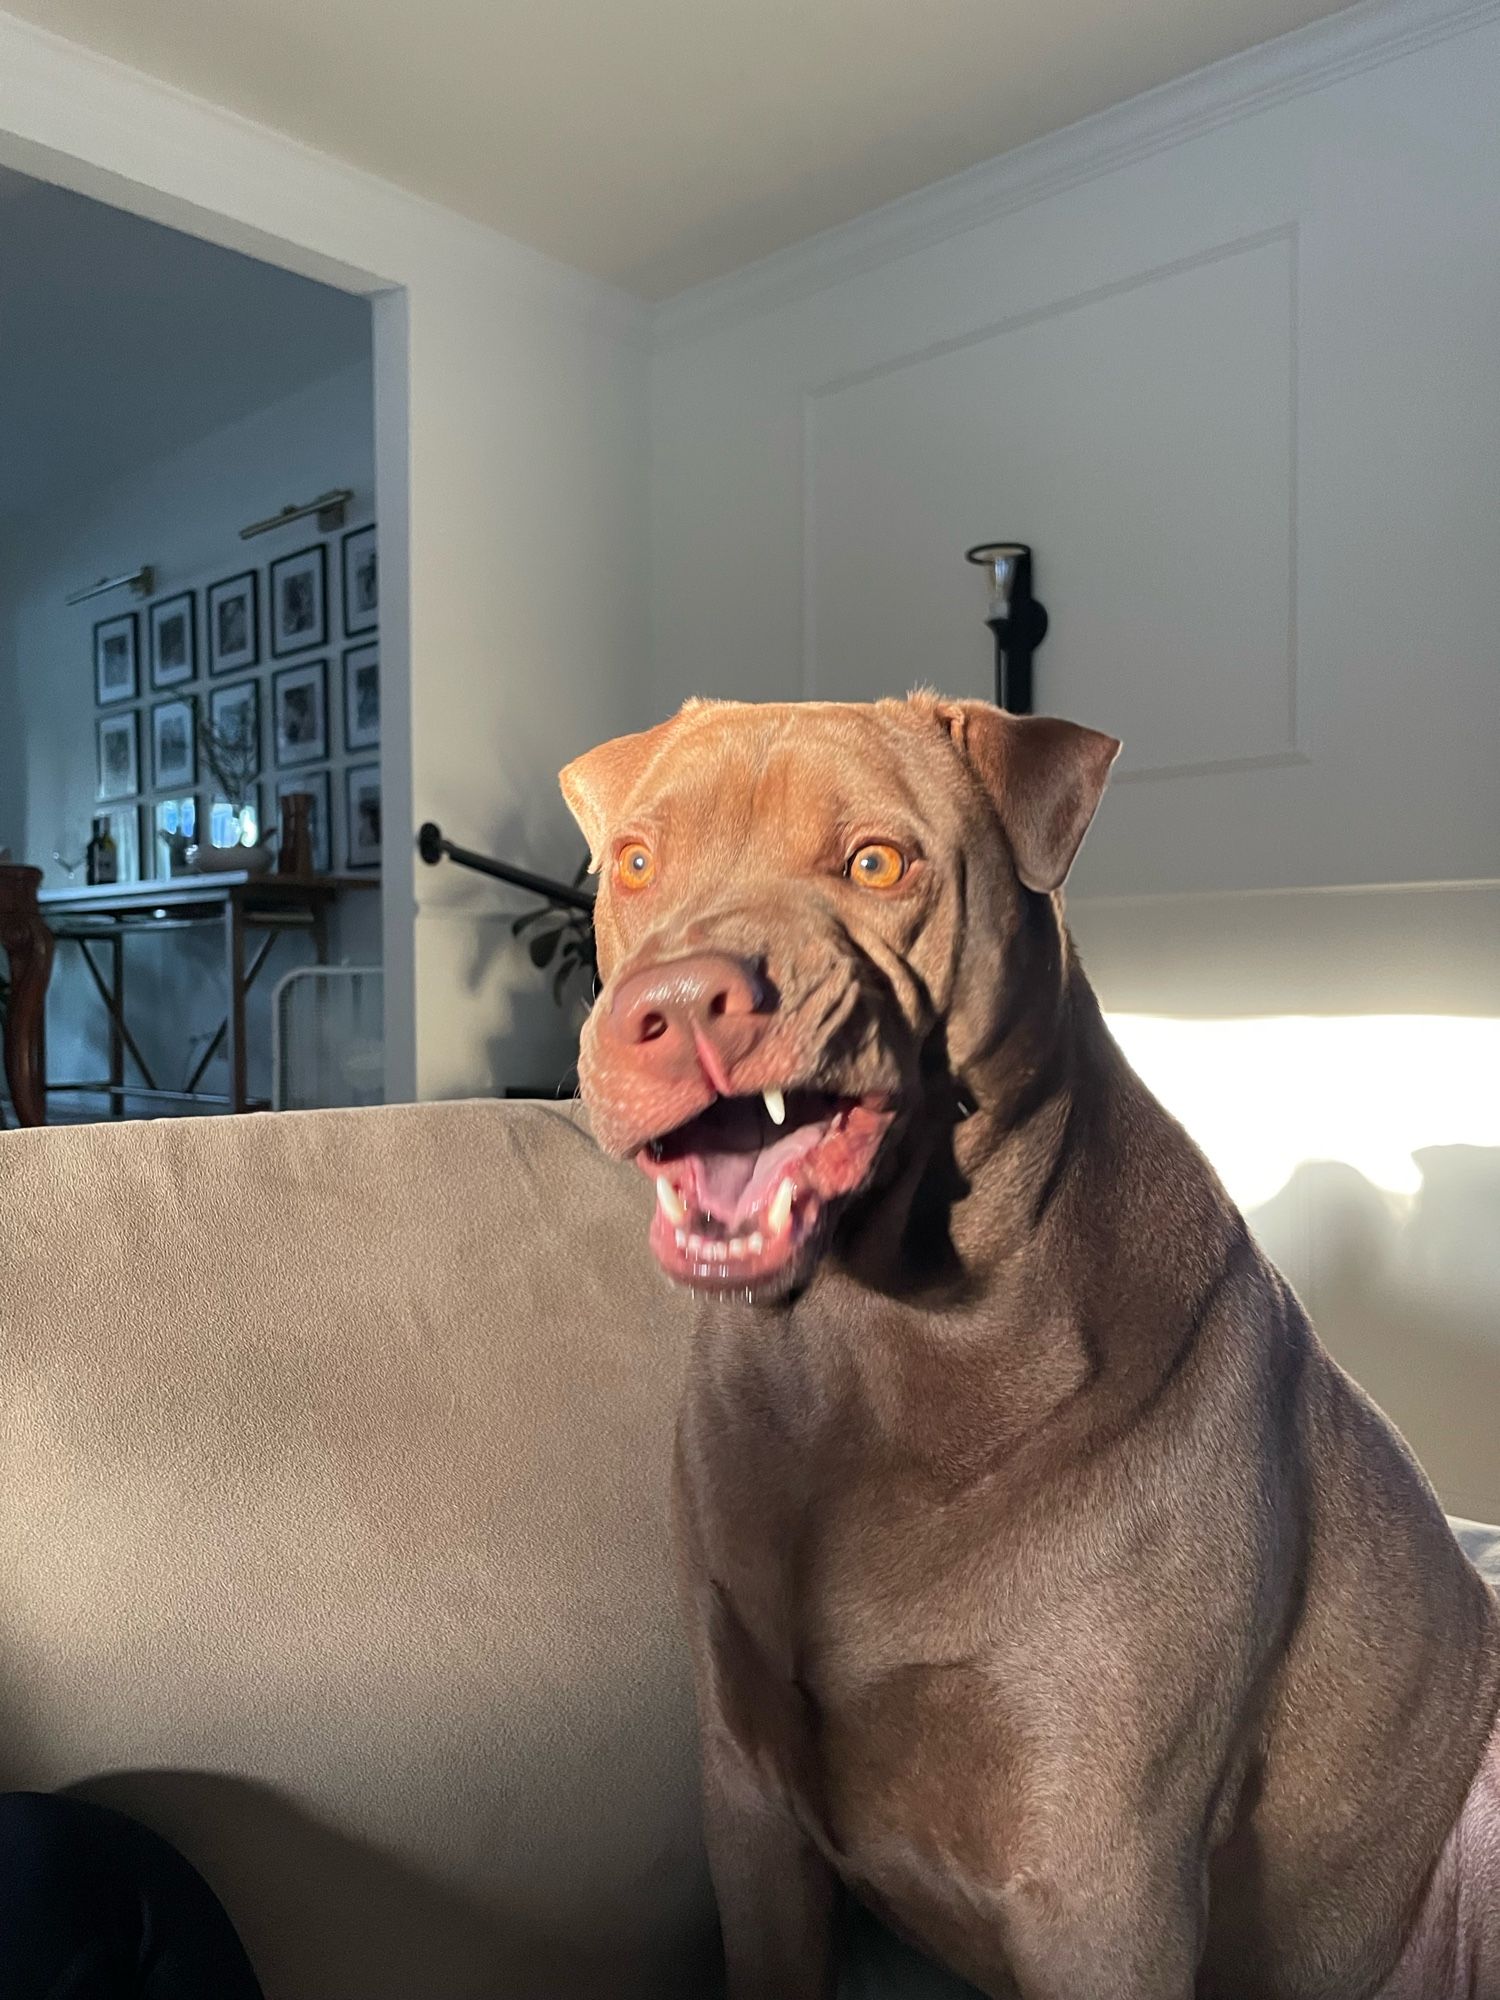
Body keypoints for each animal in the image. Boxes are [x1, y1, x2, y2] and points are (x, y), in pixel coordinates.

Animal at [560, 700, 1500, 2000]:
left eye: (876, 863)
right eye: (639, 860)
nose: (686, 1000)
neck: (878, 1341)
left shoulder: (1102, 1883)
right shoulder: (750, 1811)